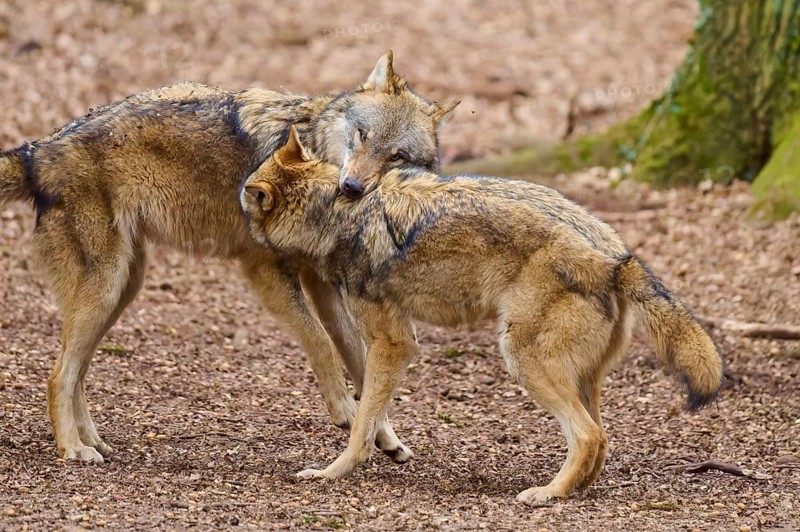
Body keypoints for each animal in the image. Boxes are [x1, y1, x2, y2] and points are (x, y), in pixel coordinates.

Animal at [0, 52, 459, 463]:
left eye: (396, 155)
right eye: (362, 135)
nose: (352, 188)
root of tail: (38, 149)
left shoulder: (321, 284)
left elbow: (358, 360)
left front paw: (385, 437)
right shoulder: (264, 270)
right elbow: (321, 344)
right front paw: (345, 412)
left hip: (121, 290)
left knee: (75, 371)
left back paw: (92, 441)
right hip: (107, 288)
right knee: (58, 376)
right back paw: (72, 449)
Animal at [240, 128, 725, 503]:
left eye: (247, 204)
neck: (335, 212)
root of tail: (617, 258)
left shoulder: (394, 342)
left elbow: (360, 423)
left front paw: (332, 473)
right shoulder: (386, 341)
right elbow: (368, 409)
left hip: (522, 358)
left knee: (589, 436)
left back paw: (547, 495)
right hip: (579, 375)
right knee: (602, 440)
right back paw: (572, 490)